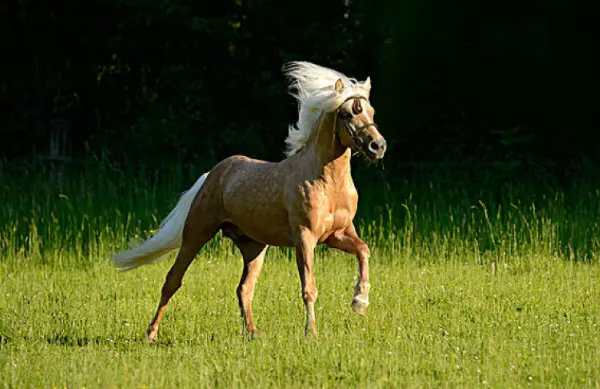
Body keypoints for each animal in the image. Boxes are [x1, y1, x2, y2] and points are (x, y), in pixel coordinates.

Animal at [114, 60, 386, 340]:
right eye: (348, 113)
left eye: (371, 112)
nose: (378, 146)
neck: (327, 182)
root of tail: (213, 174)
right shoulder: (305, 237)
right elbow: (309, 287)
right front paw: (311, 332)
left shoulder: (337, 234)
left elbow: (364, 251)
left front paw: (360, 302)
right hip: (196, 235)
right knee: (172, 281)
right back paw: (151, 333)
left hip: (254, 247)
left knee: (244, 288)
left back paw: (253, 333)